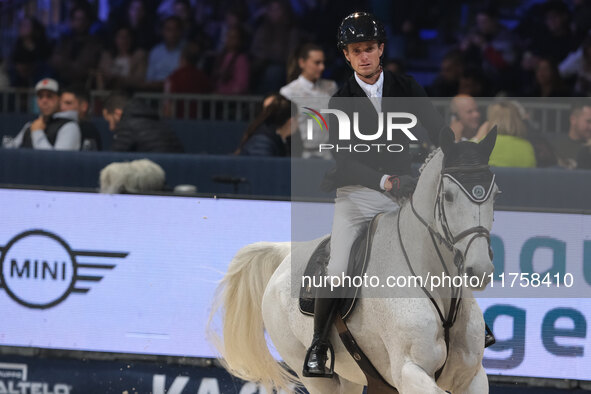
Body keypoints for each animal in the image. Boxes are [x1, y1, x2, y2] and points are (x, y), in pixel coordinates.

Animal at [210, 127, 502, 392]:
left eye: (495, 193)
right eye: (449, 196)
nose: (480, 269)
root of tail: (287, 256)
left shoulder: (471, 377)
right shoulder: (410, 372)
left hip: (349, 375)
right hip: (312, 374)